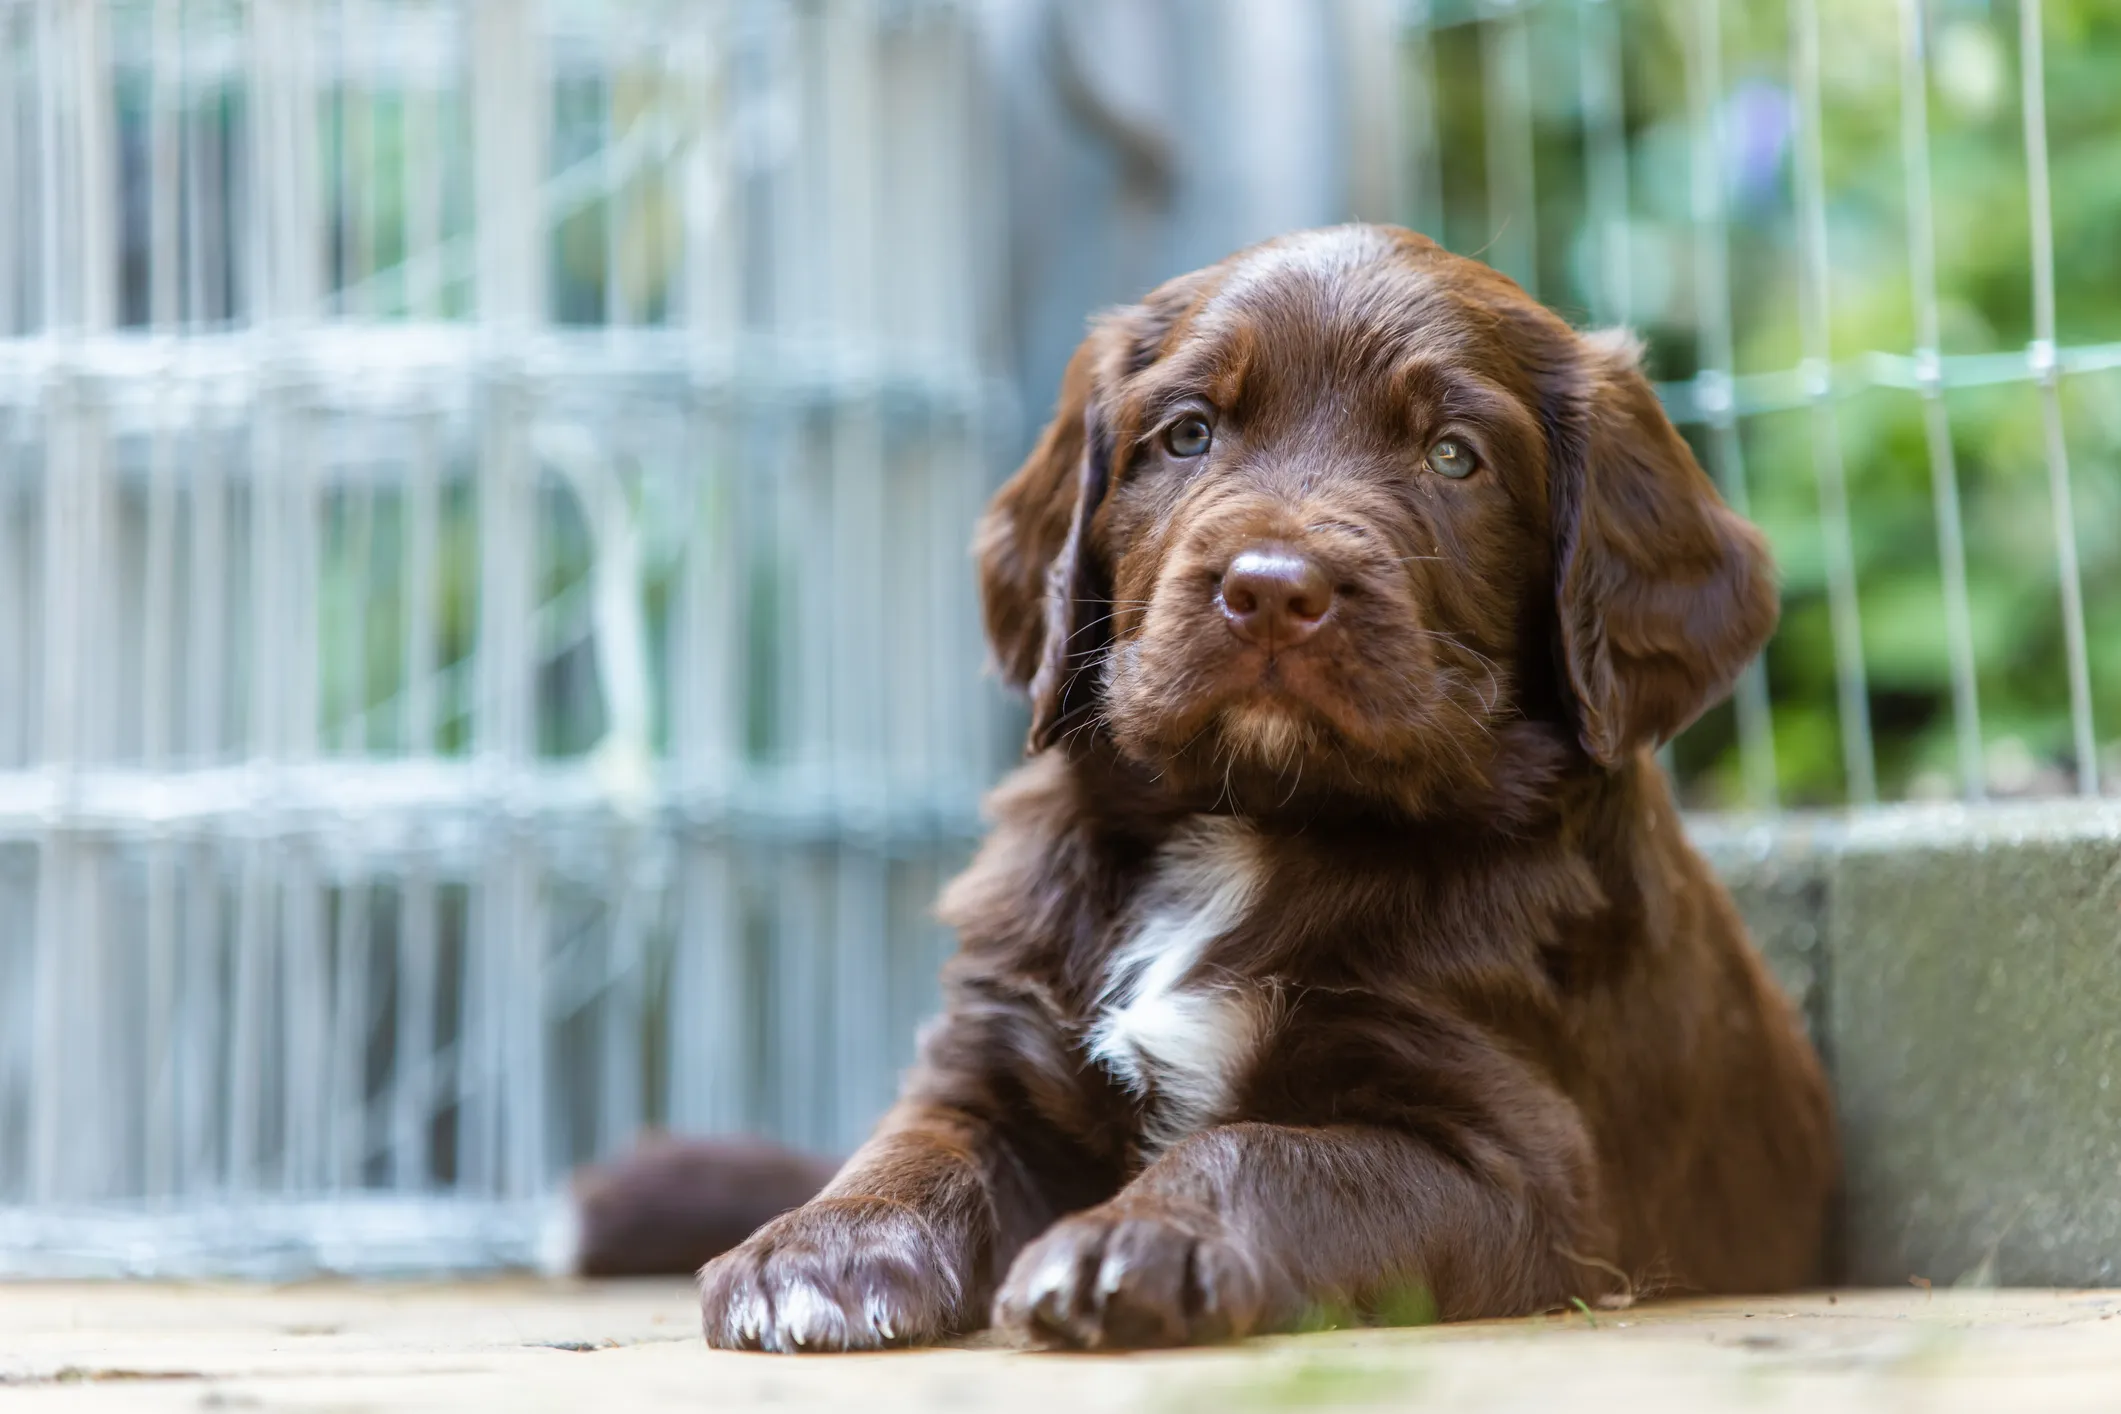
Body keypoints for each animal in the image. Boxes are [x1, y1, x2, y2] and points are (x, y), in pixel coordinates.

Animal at [695, 226, 1841, 1356]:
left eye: (1453, 455)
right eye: (1188, 434)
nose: (1273, 591)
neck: (1251, 820)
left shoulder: (1519, 1162)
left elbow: (1264, 1152)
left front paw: (1133, 1241)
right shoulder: (994, 1047)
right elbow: (921, 1137)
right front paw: (823, 1247)